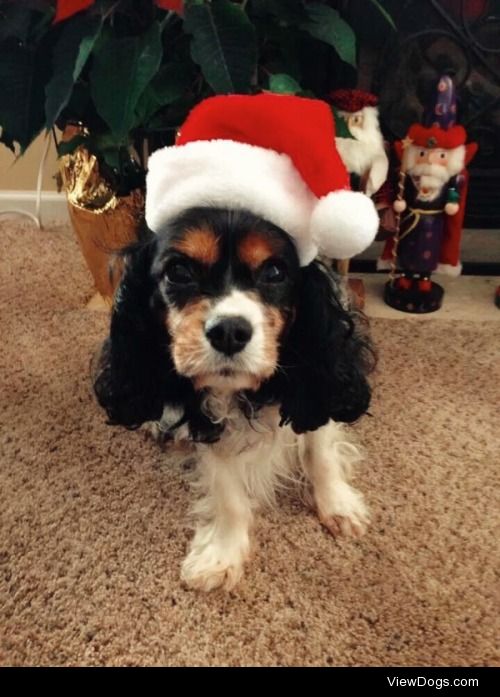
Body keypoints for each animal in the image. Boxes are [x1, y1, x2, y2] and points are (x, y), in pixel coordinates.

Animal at [94, 208, 376, 592]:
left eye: (274, 272)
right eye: (178, 271)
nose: (229, 331)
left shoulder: (320, 386)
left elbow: (321, 454)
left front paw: (339, 506)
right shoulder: (206, 421)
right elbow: (227, 491)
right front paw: (220, 555)